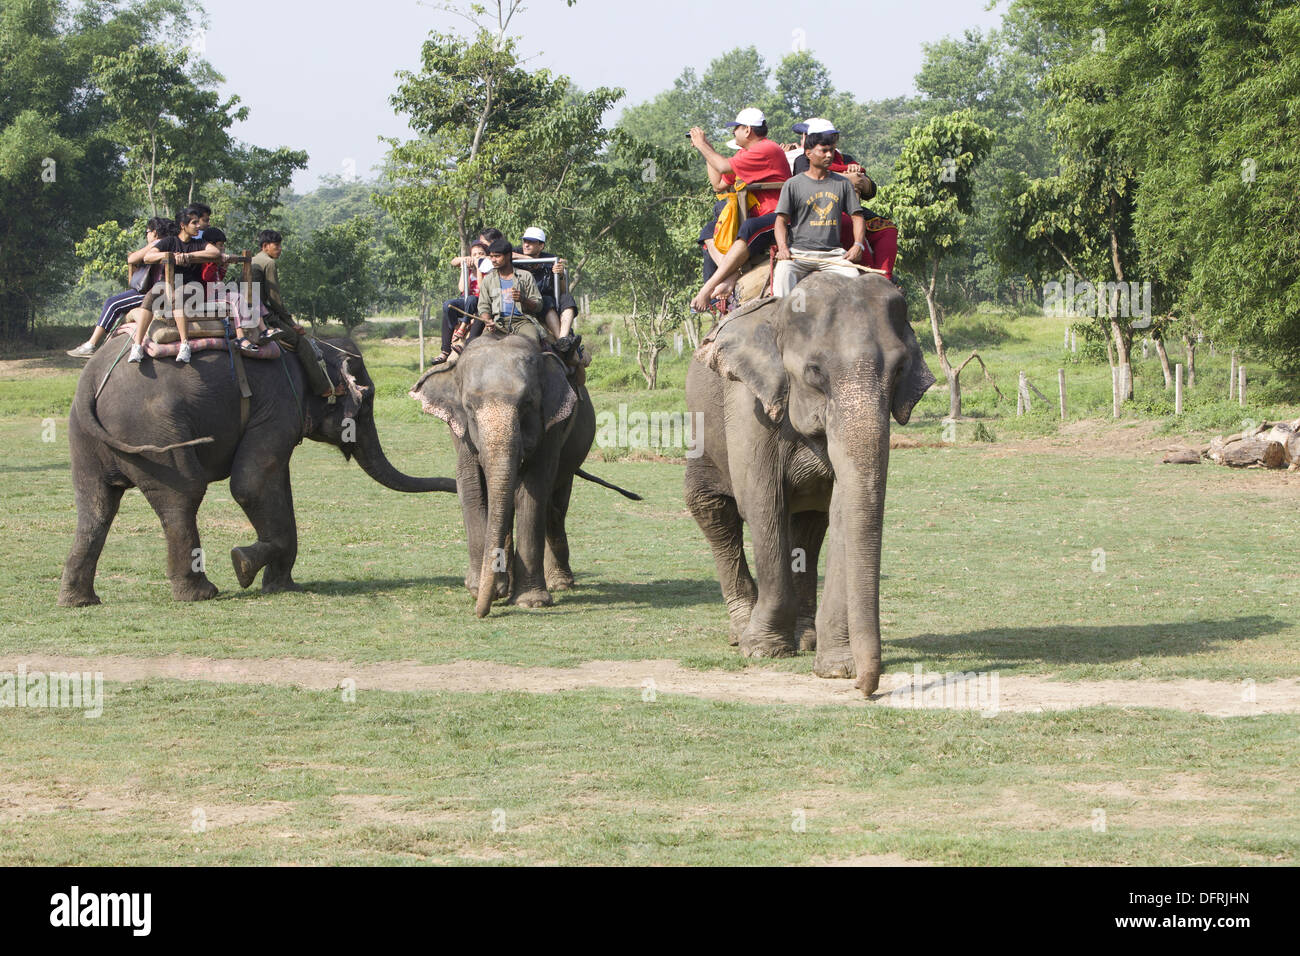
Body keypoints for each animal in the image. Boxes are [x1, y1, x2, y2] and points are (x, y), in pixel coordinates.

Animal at [59, 336, 455, 606]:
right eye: (368, 398)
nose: (453, 487)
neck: (308, 349)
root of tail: (93, 383)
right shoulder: (278, 404)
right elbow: (249, 486)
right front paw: (242, 564)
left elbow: (275, 485)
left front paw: (281, 586)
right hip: (154, 430)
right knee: (183, 496)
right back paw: (201, 593)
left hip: (82, 439)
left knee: (95, 507)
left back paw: (79, 601)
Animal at [410, 333, 638, 617]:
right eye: (469, 408)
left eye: (527, 405)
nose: (480, 613)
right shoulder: (459, 431)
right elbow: (471, 486)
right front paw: (481, 589)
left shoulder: (551, 424)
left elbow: (534, 489)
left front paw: (531, 602)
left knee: (555, 508)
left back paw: (560, 583)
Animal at [685, 273, 936, 696]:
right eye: (815, 370)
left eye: (900, 370)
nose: (866, 688)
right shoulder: (748, 404)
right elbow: (762, 501)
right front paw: (762, 650)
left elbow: (841, 508)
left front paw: (837, 668)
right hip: (700, 430)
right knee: (713, 509)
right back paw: (742, 631)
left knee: (808, 524)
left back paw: (804, 638)